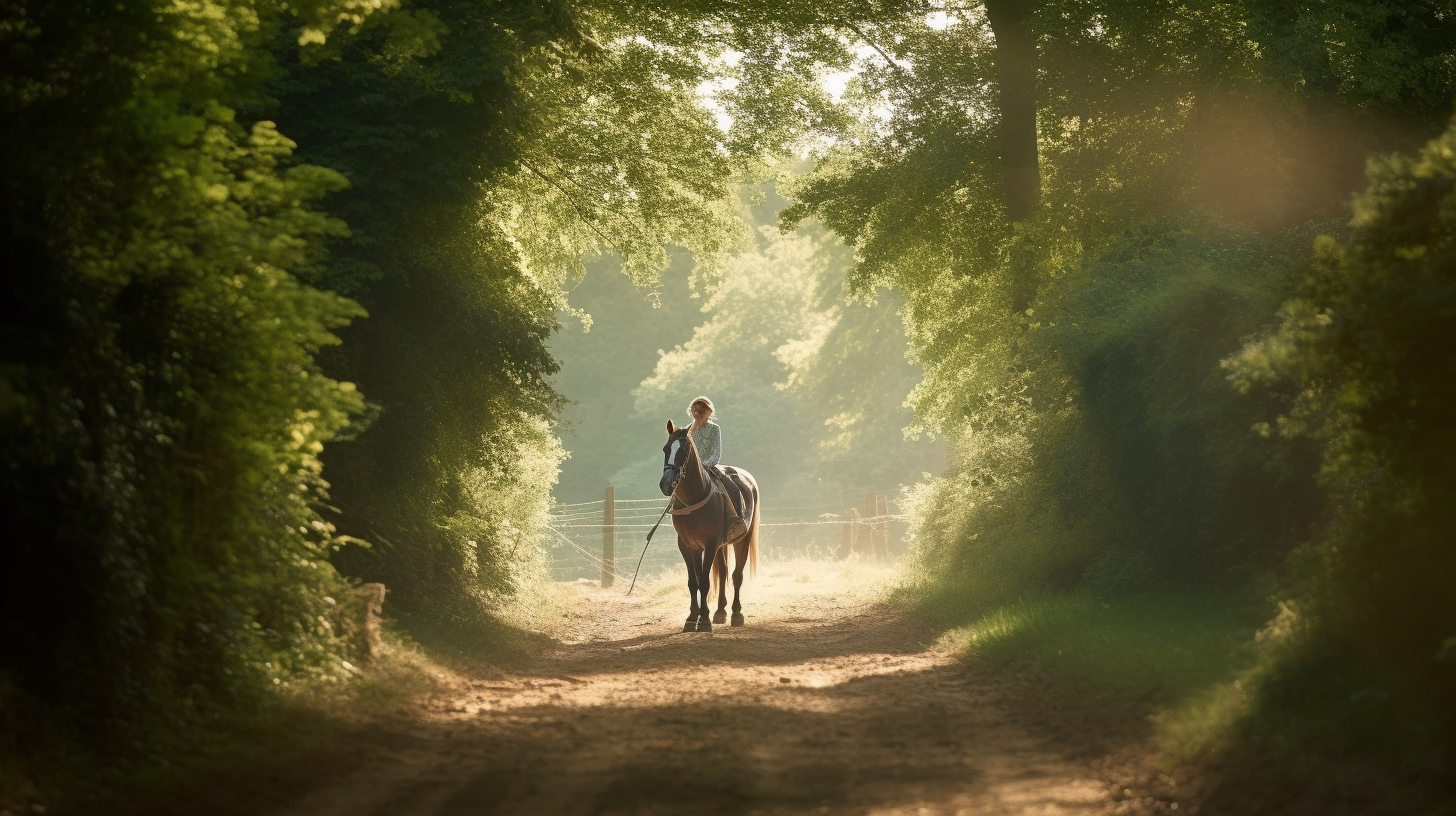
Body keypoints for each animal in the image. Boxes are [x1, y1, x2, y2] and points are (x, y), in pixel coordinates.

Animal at [661, 419, 762, 632]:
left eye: (684, 450)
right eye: (666, 449)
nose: (666, 484)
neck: (694, 500)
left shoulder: (710, 544)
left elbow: (705, 582)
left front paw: (704, 620)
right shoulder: (688, 546)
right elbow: (694, 582)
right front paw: (692, 618)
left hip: (742, 540)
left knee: (736, 575)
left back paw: (736, 614)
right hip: (720, 546)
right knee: (723, 572)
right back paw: (720, 612)